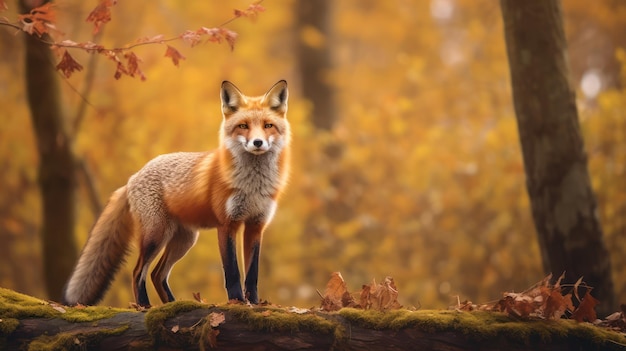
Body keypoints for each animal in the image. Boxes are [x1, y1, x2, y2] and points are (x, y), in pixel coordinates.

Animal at [63, 80, 288, 308]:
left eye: (268, 126)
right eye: (243, 126)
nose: (258, 143)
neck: (253, 185)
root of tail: (133, 177)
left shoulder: (255, 226)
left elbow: (252, 274)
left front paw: (255, 304)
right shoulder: (227, 224)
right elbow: (232, 272)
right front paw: (237, 302)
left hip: (183, 240)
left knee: (156, 274)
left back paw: (173, 305)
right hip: (155, 235)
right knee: (138, 272)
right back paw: (145, 306)